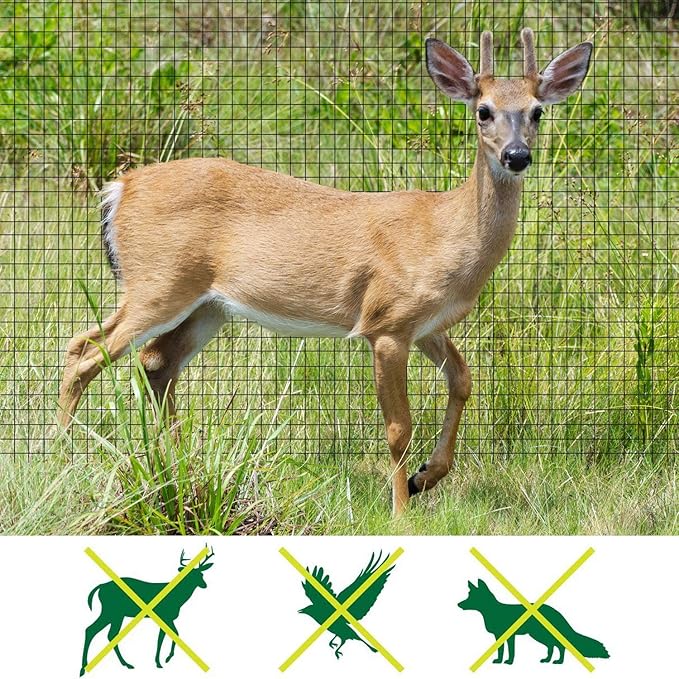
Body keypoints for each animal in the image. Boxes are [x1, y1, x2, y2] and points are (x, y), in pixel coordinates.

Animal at [57, 29, 592, 517]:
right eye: (483, 110)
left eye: (537, 111)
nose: (517, 155)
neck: (443, 233)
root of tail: (119, 189)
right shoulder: (386, 323)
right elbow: (398, 428)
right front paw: (401, 511)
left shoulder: (426, 324)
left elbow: (463, 379)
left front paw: (425, 477)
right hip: (158, 283)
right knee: (84, 350)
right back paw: (62, 457)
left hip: (208, 306)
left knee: (155, 363)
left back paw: (175, 466)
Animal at [80, 548, 214, 675]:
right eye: (190, 574)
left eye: (201, 574)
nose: (205, 585)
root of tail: (100, 586)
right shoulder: (165, 616)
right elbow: (165, 638)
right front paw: (161, 661)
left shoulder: (168, 618)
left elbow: (174, 634)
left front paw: (165, 659)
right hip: (111, 611)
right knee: (97, 631)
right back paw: (87, 667)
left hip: (115, 614)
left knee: (103, 632)